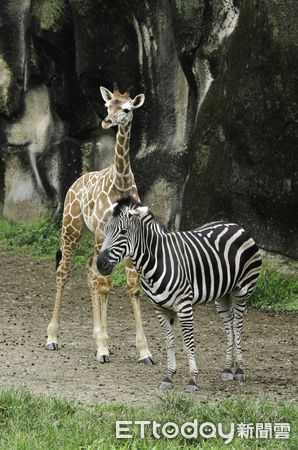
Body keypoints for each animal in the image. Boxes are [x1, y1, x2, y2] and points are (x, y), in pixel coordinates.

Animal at [46, 85, 156, 366]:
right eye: (107, 106)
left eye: (126, 109)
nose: (107, 121)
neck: (121, 185)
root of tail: (74, 184)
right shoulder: (101, 232)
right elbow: (105, 284)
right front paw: (103, 348)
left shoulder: (129, 238)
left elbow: (132, 287)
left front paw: (144, 352)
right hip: (72, 228)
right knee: (64, 272)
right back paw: (52, 337)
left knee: (89, 271)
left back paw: (96, 334)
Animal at [96, 196, 262, 390]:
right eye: (105, 229)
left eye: (123, 232)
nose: (100, 264)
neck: (157, 260)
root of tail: (236, 225)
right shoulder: (160, 308)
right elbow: (169, 341)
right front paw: (169, 376)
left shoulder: (184, 306)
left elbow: (188, 341)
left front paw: (192, 379)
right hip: (222, 295)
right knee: (229, 325)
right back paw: (228, 368)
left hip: (242, 291)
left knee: (237, 325)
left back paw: (240, 370)